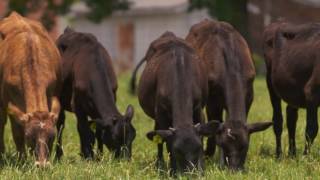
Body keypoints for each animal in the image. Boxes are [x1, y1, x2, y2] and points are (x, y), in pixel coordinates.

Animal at [0, 11, 62, 167]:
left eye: (51, 137)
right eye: (29, 137)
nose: (42, 165)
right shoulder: (10, 104)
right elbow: (17, 134)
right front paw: (21, 161)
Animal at [55, 27, 136, 160]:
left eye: (133, 136)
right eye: (115, 139)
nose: (125, 159)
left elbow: (98, 132)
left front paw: (99, 156)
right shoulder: (78, 106)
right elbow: (84, 131)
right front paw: (88, 157)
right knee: (60, 125)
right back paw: (58, 156)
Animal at [130, 31, 218, 174]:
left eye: (199, 148)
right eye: (177, 151)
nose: (190, 173)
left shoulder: (199, 110)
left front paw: (201, 169)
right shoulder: (161, 113)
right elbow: (165, 142)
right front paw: (172, 170)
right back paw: (159, 163)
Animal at [264, 21, 320, 156]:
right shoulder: (312, 92)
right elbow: (312, 128)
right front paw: (306, 156)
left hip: (293, 91)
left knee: (291, 117)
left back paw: (292, 153)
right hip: (270, 82)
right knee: (278, 121)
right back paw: (279, 154)